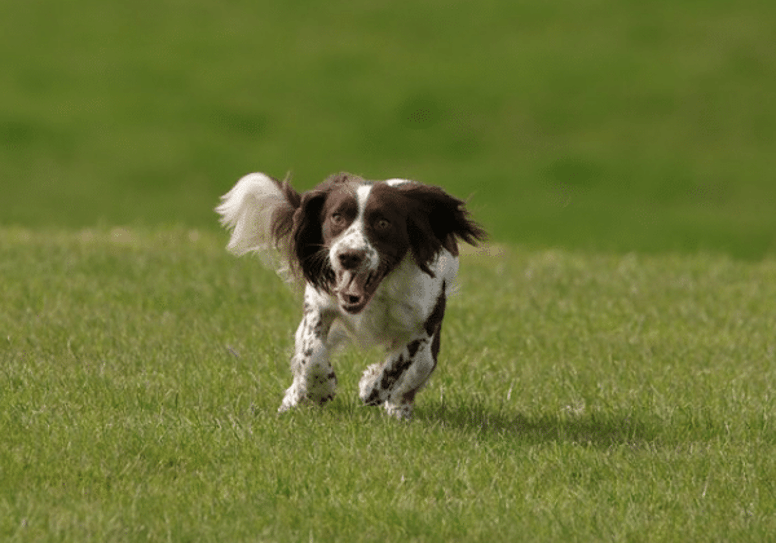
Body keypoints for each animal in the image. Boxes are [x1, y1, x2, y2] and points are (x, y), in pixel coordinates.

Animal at [217, 172, 484, 418]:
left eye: (383, 222)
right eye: (337, 217)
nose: (349, 255)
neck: (377, 294)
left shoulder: (423, 322)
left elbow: (397, 365)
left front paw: (371, 386)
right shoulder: (319, 303)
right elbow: (312, 352)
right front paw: (319, 389)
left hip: (427, 355)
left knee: (411, 379)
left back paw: (398, 410)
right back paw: (293, 399)